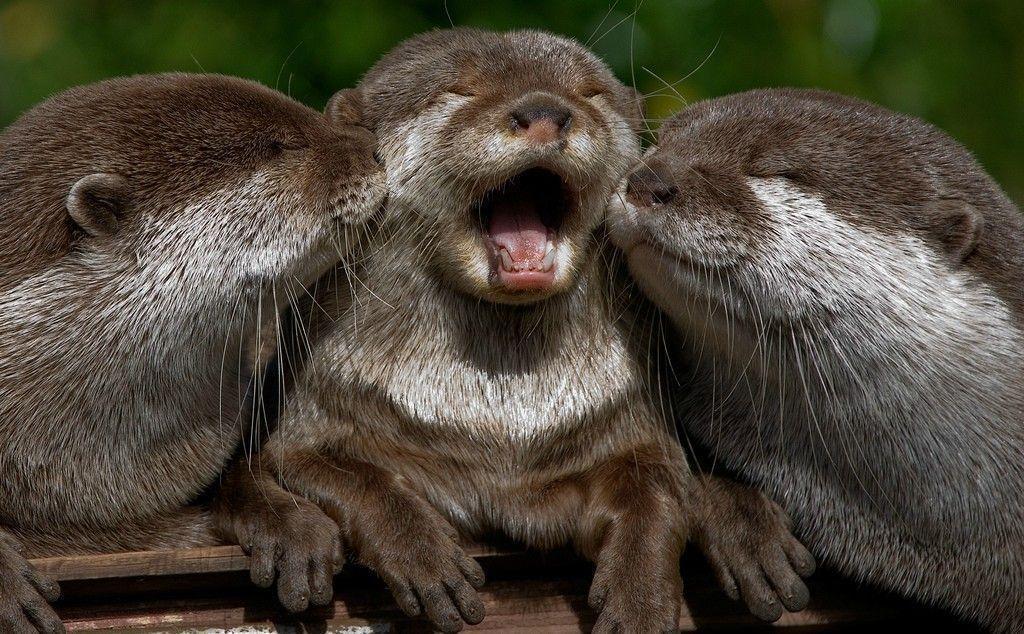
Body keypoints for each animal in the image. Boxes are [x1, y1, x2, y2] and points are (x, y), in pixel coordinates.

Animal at [217, 30, 814, 632]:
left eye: (590, 93)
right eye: (458, 90)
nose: (546, 111)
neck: (499, 429)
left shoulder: (626, 422)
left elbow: (657, 488)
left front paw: (640, 598)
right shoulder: (318, 409)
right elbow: (344, 474)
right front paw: (422, 554)